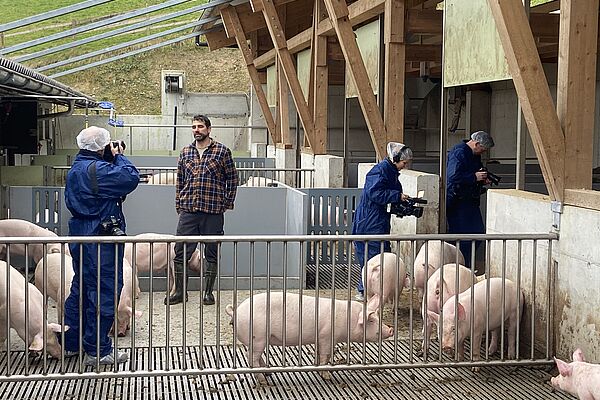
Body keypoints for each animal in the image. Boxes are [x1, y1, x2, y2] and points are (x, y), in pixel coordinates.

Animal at [225, 290, 394, 384]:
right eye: (371, 320)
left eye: (377, 318)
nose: (391, 330)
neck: (347, 320)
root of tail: (236, 312)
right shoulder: (327, 336)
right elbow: (326, 355)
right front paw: (327, 376)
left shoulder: (320, 337)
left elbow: (319, 354)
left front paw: (318, 369)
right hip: (257, 337)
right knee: (251, 358)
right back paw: (264, 381)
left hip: (258, 340)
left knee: (255, 357)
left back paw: (269, 372)